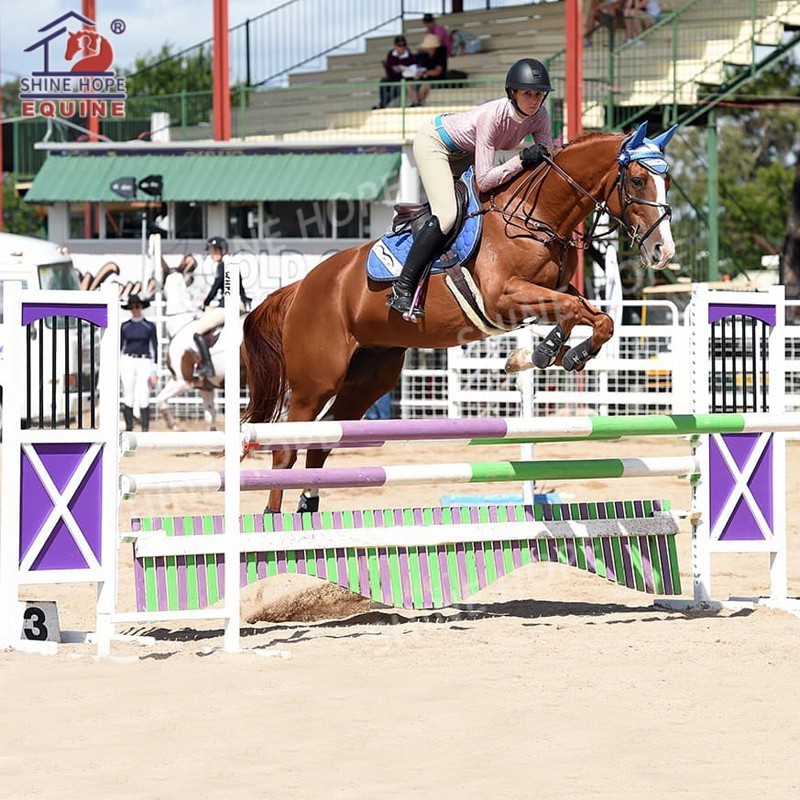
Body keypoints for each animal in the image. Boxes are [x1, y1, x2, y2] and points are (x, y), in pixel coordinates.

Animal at [242, 125, 676, 512]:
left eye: (667, 179)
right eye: (638, 180)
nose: (663, 251)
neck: (535, 216)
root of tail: (302, 286)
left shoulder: (550, 290)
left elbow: (592, 315)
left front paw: (550, 355)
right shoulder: (503, 297)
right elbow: (575, 310)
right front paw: (552, 353)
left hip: (369, 379)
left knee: (323, 440)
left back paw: (309, 509)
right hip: (315, 383)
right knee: (286, 450)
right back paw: (275, 520)